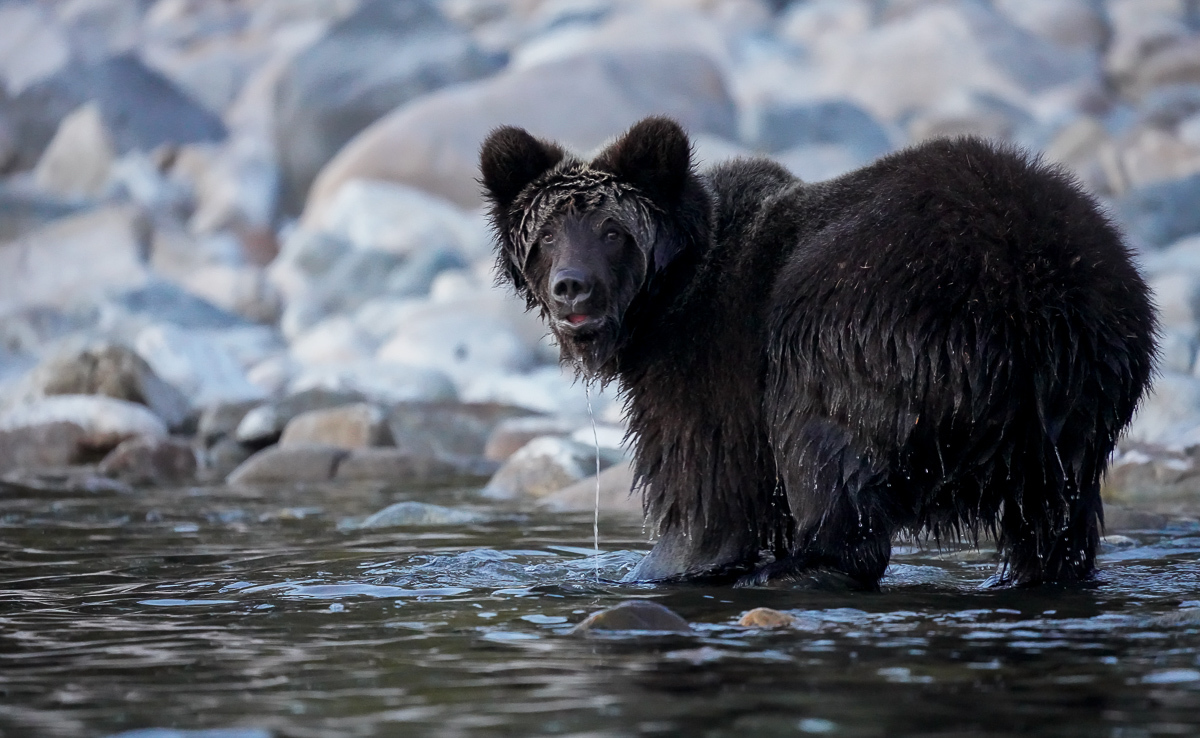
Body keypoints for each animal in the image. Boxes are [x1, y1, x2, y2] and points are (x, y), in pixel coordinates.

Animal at [482, 115, 1156, 588]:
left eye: (612, 232)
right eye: (547, 235)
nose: (573, 287)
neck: (664, 303)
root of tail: (1025, 288)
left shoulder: (708, 365)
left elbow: (704, 496)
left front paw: (662, 565)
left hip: (856, 327)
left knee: (824, 450)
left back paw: (795, 568)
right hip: (1082, 392)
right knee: (1055, 517)